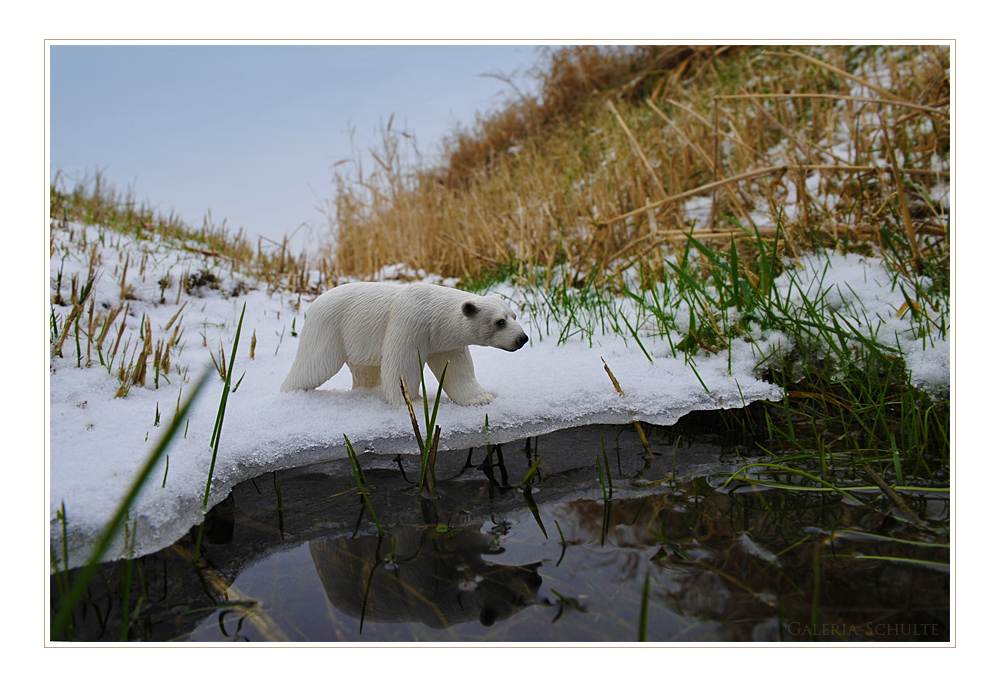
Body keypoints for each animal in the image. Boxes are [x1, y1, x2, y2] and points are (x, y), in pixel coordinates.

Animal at [280, 282, 532, 406]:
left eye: (514, 315)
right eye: (500, 322)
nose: (522, 338)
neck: (436, 311)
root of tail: (314, 304)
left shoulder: (444, 340)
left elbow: (457, 369)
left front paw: (480, 398)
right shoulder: (411, 321)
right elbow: (402, 362)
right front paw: (412, 402)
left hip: (356, 335)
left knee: (365, 369)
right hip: (329, 329)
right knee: (315, 364)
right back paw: (291, 393)